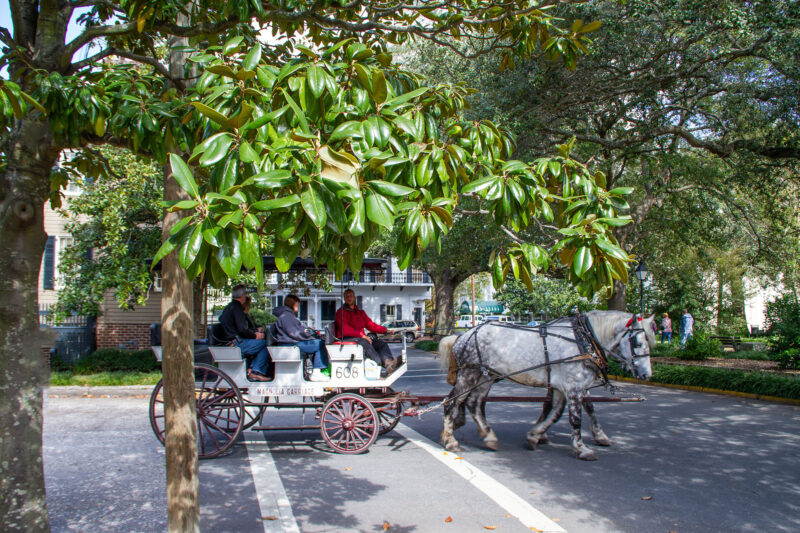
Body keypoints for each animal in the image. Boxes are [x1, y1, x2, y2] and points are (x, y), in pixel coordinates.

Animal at [438, 310, 656, 460]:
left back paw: (488, 436)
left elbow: (556, 413)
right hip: (469, 374)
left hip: (486, 376)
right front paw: (582, 448)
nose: (646, 375)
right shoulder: (574, 387)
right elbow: (576, 418)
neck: (583, 340)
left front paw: (535, 435)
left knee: (473, 403)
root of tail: (463, 336)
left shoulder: (562, 387)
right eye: (637, 342)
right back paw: (450, 441)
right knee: (451, 402)